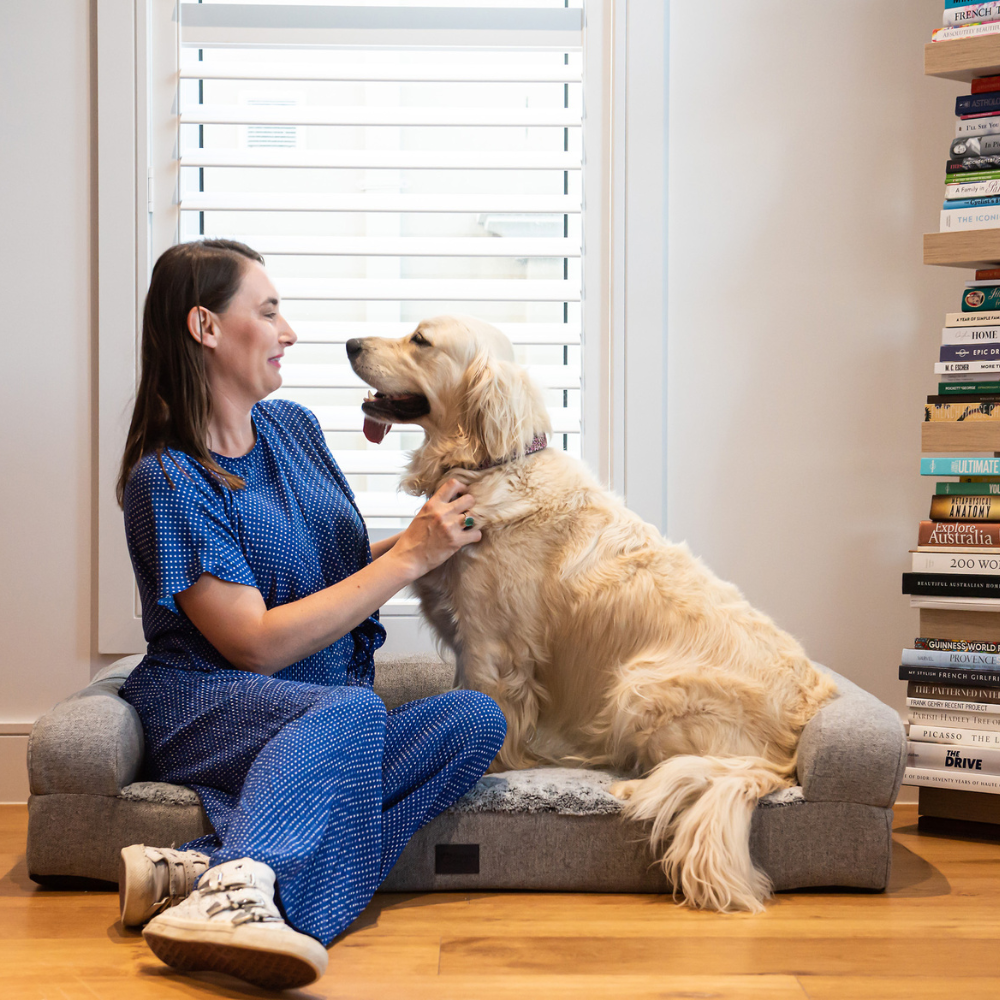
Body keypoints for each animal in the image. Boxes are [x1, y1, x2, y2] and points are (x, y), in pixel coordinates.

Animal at [348, 314, 840, 916]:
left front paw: (490, 776)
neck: (490, 464)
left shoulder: (491, 646)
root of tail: (797, 733)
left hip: (640, 686)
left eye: (420, 339)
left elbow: (489, 715)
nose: (349, 344)